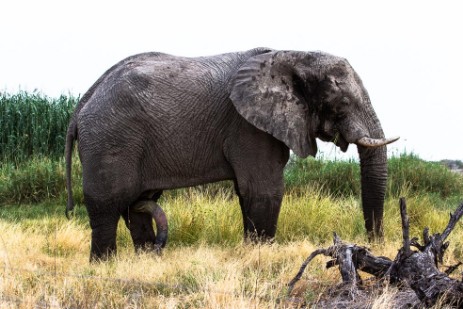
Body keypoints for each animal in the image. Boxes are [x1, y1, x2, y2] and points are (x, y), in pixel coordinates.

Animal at [65, 47, 398, 260]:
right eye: (341, 103)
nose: (371, 246)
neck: (292, 55)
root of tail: (82, 103)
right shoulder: (248, 126)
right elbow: (264, 190)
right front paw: (261, 253)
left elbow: (248, 192)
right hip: (109, 139)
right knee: (107, 207)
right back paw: (104, 265)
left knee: (137, 205)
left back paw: (146, 260)